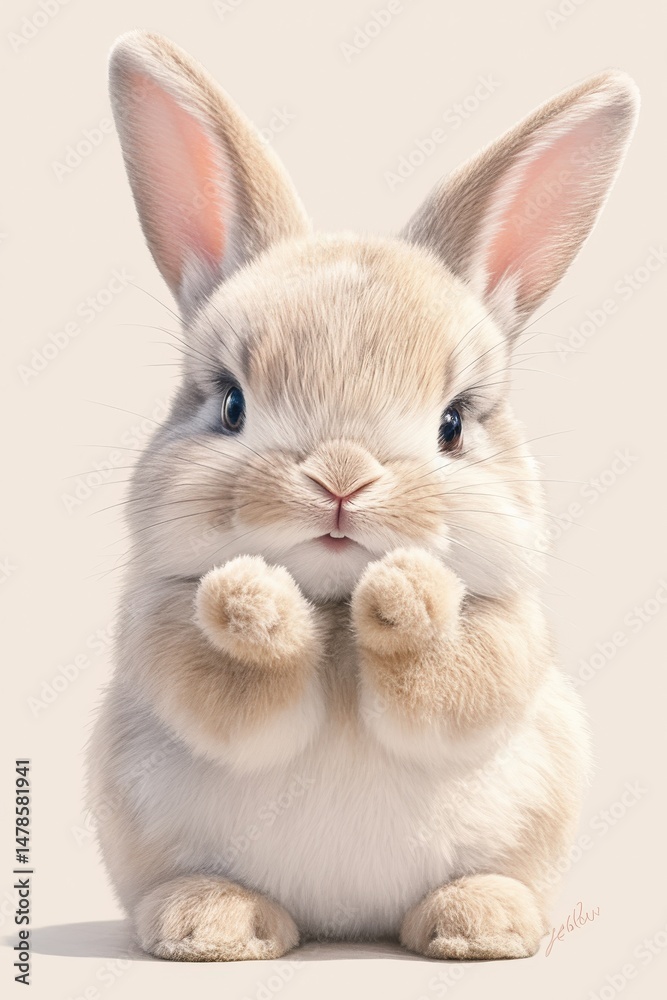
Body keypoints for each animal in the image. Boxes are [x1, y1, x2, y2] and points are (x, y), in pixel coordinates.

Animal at [86, 29, 639, 962]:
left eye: (452, 424)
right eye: (231, 405)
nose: (340, 479)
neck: (335, 614)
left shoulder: (505, 640)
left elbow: (449, 678)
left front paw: (404, 595)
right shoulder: (160, 632)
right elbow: (231, 689)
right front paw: (254, 601)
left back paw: (480, 922)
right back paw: (210, 922)